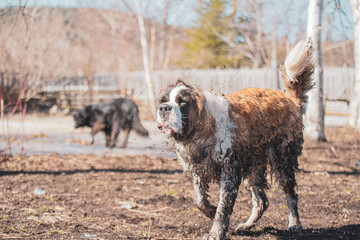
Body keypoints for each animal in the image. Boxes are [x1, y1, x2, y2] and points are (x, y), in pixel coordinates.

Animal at [158, 41, 316, 240]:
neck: (204, 126)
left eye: (182, 102)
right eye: (163, 101)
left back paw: (295, 224)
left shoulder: (230, 172)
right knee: (261, 201)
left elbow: (223, 207)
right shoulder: (199, 170)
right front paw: (211, 211)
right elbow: (199, 200)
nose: (164, 108)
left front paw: (216, 231)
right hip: (253, 167)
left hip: (283, 162)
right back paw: (247, 225)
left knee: (291, 195)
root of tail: (289, 98)